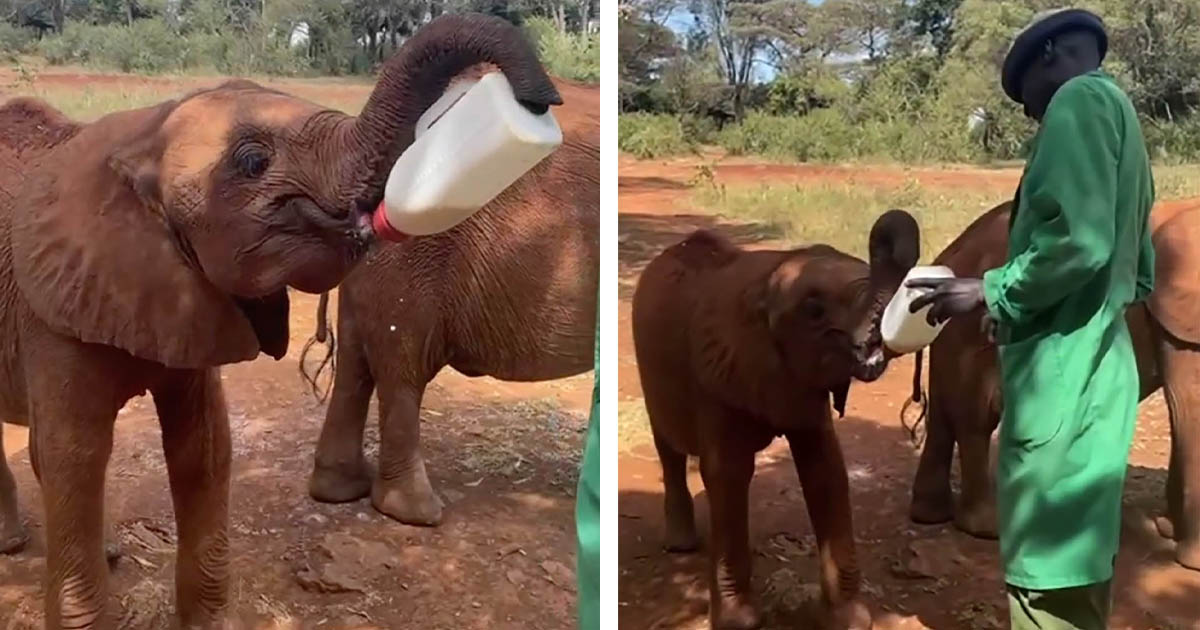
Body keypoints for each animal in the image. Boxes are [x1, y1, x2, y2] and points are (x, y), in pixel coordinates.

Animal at [0, 14, 561, 629]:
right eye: (252, 163)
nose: (541, 99)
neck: (142, 135)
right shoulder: (49, 307)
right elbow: (74, 455)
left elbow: (204, 447)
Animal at [631, 210, 921, 630]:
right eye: (814, 310)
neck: (769, 277)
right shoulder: (715, 374)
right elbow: (728, 474)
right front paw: (738, 623)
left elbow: (826, 469)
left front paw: (850, 620)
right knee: (668, 448)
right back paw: (681, 545)